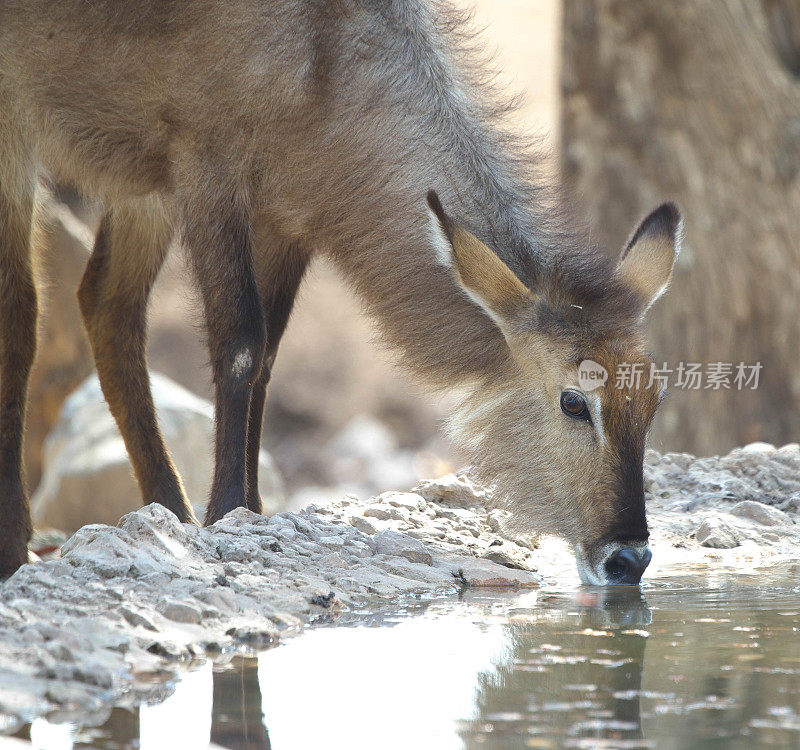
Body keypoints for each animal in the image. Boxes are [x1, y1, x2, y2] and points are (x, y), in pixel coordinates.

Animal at [1, 0, 680, 584]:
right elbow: (240, 343)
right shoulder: (205, 162)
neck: (326, 55)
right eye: (574, 401)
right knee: (24, 317)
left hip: (138, 184)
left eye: (653, 397)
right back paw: (19, 544)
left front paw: (248, 511)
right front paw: (227, 514)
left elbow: (268, 355)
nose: (630, 557)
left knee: (106, 304)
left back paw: (168, 511)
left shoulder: (287, 208)